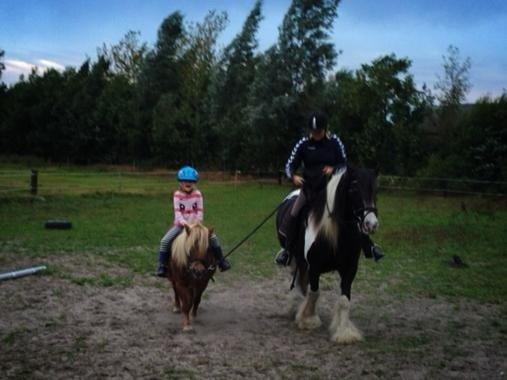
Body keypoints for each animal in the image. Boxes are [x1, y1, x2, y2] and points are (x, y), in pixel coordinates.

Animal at [276, 165, 380, 342]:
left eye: (374, 189)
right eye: (354, 188)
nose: (371, 224)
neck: (335, 233)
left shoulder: (350, 269)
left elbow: (344, 300)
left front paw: (344, 332)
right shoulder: (314, 267)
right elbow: (314, 293)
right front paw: (308, 319)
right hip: (294, 259)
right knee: (297, 281)